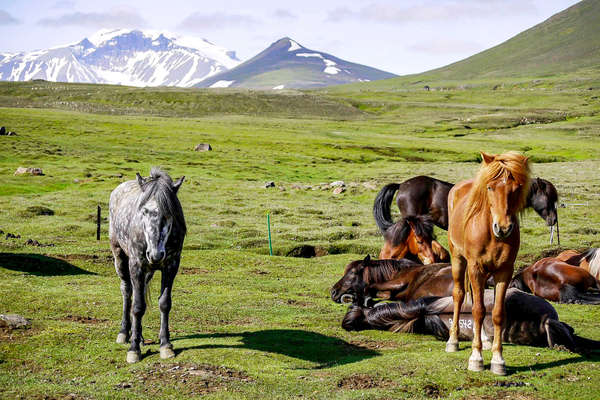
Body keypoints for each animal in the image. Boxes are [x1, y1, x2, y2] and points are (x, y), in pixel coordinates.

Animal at [109, 167, 185, 364]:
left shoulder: (171, 265)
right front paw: (133, 349)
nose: (155, 255)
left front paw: (165, 345)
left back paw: (142, 338)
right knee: (127, 292)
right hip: (120, 257)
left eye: (169, 213)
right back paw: (124, 333)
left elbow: (164, 303)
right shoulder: (136, 265)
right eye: (143, 211)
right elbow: (137, 307)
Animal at [446, 152, 528, 376]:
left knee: (476, 301)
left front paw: (498, 360)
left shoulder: (504, 272)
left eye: (516, 188)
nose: (503, 228)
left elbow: (496, 313)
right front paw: (476, 358)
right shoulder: (476, 268)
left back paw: (482, 338)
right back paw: (453, 340)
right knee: (459, 295)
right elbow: (478, 311)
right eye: (490, 188)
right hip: (458, 259)